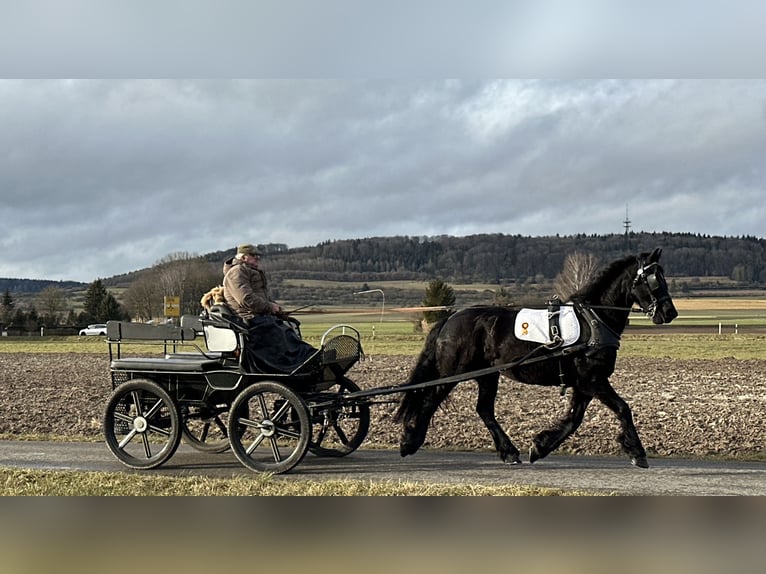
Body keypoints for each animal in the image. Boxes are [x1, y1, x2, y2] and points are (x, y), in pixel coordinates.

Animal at [396, 248, 680, 468]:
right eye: (654, 280)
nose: (670, 313)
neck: (594, 319)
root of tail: (450, 319)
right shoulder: (593, 380)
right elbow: (622, 408)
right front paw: (638, 453)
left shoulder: (584, 384)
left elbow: (574, 419)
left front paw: (540, 446)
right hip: (454, 372)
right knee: (430, 400)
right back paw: (410, 441)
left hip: (488, 375)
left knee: (484, 409)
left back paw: (509, 452)